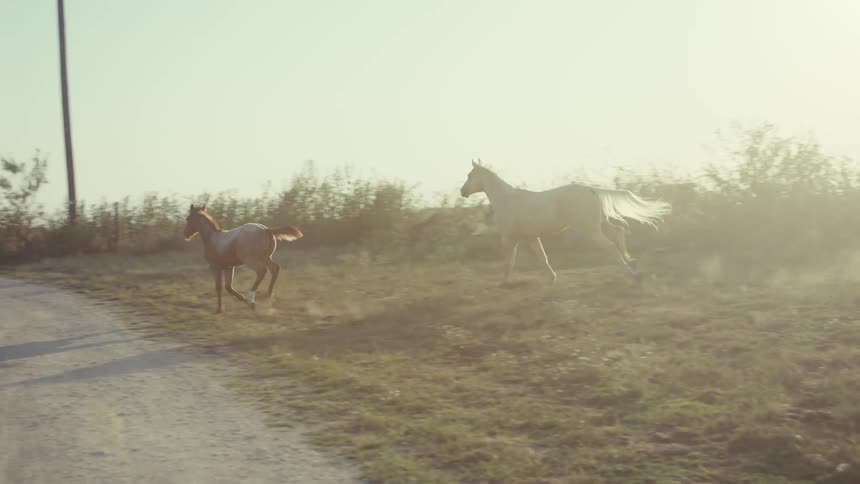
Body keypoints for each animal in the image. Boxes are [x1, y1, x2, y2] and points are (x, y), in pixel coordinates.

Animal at [459, 160, 671, 286]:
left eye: (470, 175)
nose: (462, 191)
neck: (506, 199)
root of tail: (591, 189)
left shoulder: (509, 238)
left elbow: (508, 262)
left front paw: (504, 283)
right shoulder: (531, 237)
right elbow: (543, 257)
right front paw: (553, 277)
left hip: (591, 230)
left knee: (611, 245)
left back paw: (632, 273)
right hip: (600, 224)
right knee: (619, 231)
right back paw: (632, 262)